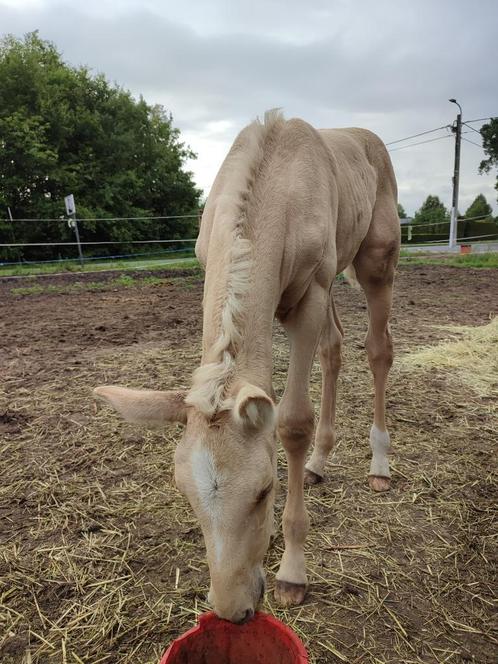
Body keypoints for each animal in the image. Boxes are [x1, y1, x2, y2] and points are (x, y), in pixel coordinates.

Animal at [95, 109, 400, 624]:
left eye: (263, 491)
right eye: (186, 496)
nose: (233, 610)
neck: (278, 187)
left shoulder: (310, 296)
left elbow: (293, 422)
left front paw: (292, 573)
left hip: (376, 262)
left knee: (378, 349)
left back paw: (379, 463)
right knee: (334, 349)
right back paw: (318, 463)